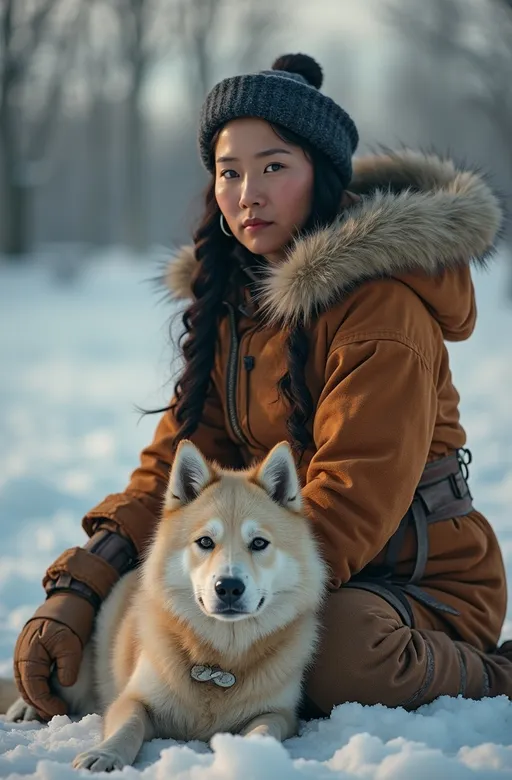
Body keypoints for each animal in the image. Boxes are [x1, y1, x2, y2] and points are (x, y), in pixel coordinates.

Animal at [1, 442, 328, 772]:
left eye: (259, 543)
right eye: (205, 542)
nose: (229, 587)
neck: (218, 660)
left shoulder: (280, 714)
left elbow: (264, 730)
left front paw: (248, 758)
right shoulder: (133, 698)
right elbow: (128, 726)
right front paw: (105, 754)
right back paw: (26, 708)